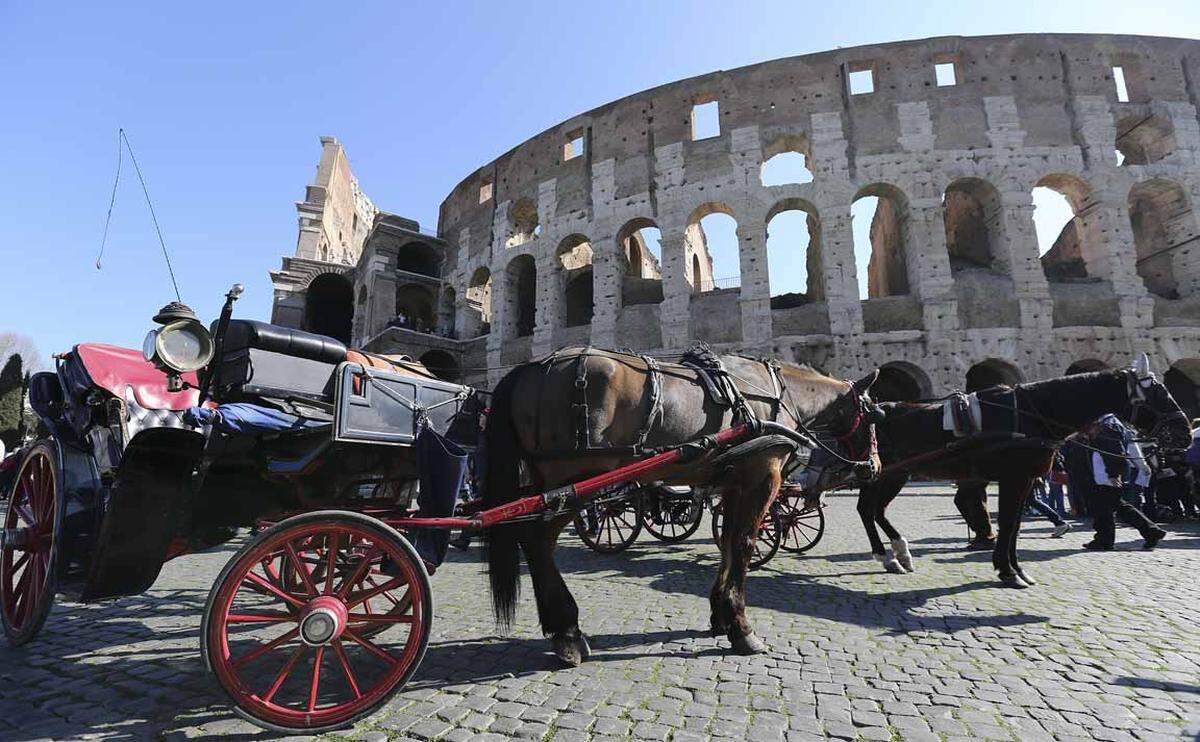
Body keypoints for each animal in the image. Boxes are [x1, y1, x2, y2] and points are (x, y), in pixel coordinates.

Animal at [477, 345, 883, 657]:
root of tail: (530, 367)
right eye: (874, 416)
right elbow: (744, 544)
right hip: (573, 483)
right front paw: (742, 628)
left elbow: (728, 545)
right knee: (537, 540)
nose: (874, 467)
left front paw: (721, 615)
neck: (772, 397)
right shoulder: (761, 478)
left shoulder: (732, 484)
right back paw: (567, 633)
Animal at [854, 362, 1190, 583]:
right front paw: (1007, 571)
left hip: (893, 474)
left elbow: (1014, 525)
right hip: (884, 474)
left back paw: (898, 553)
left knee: (872, 510)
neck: (1029, 413)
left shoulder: (1026, 479)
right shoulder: (1013, 478)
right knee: (868, 509)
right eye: (1159, 394)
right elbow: (1007, 522)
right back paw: (888, 555)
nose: (1184, 433)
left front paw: (1015, 569)